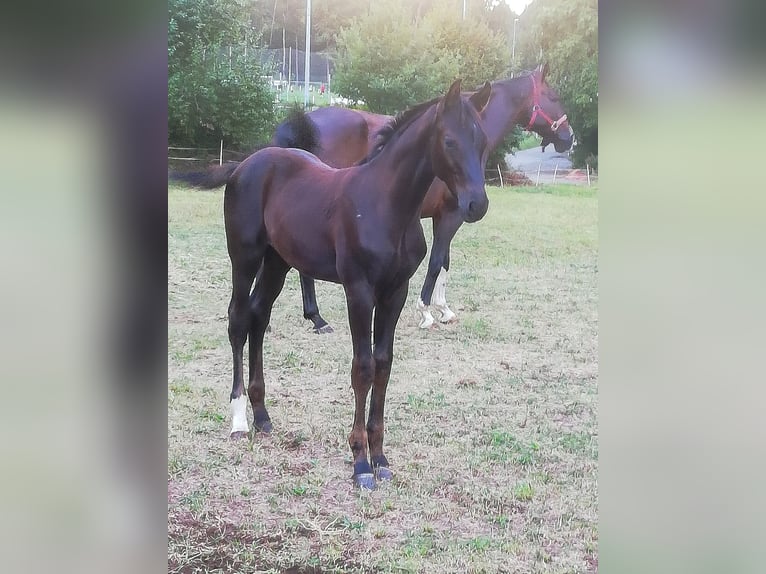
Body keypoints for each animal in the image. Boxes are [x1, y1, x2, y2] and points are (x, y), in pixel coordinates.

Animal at [225, 80, 496, 490]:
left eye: (482, 142)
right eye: (449, 141)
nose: (476, 205)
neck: (385, 205)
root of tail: (246, 164)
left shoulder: (395, 293)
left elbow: (383, 365)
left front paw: (380, 457)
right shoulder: (359, 291)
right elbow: (363, 368)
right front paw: (360, 462)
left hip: (277, 262)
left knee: (259, 316)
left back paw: (262, 415)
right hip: (245, 258)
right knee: (239, 321)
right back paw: (240, 418)